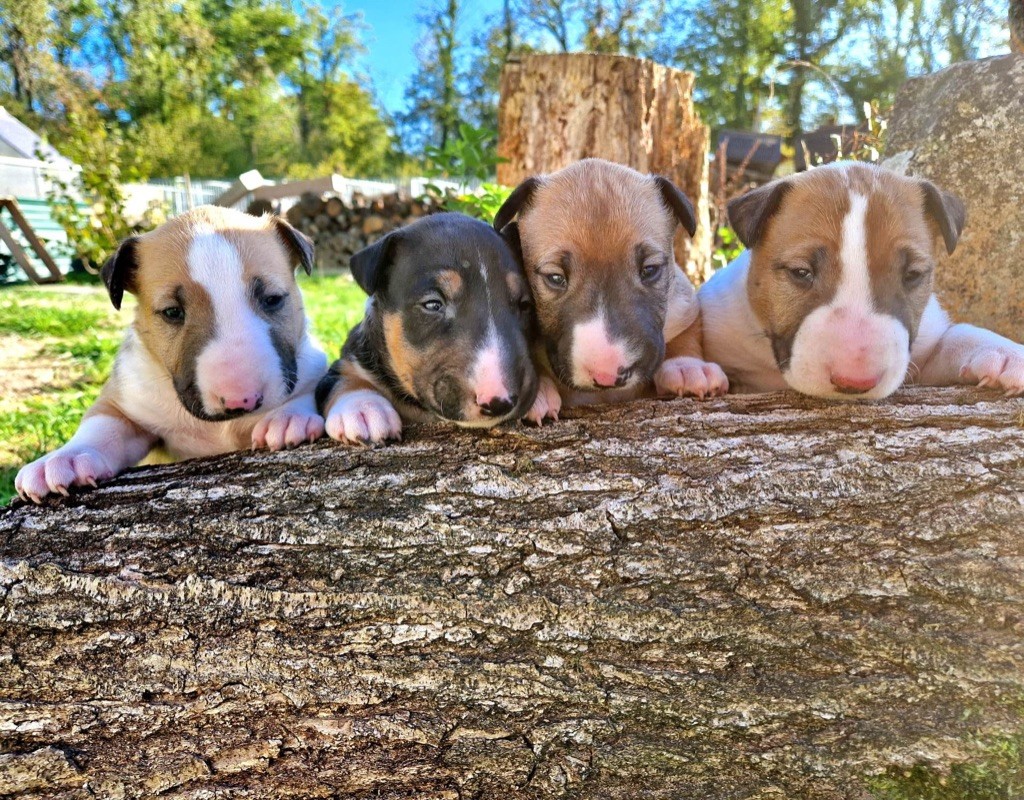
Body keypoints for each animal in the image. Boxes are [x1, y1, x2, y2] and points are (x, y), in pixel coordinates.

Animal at [17, 205, 327, 506]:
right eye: (172, 312)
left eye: (273, 299)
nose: (241, 400)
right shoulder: (128, 399)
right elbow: (102, 424)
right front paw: (63, 460)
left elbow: (307, 389)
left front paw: (288, 419)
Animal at [317, 211, 540, 442]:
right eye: (432, 304)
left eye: (525, 305)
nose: (499, 401)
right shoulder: (351, 356)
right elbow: (345, 378)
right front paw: (364, 409)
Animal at [491, 155, 724, 424]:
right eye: (555, 277)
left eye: (650, 270)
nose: (608, 374)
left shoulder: (685, 304)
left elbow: (686, 333)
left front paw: (688, 367)